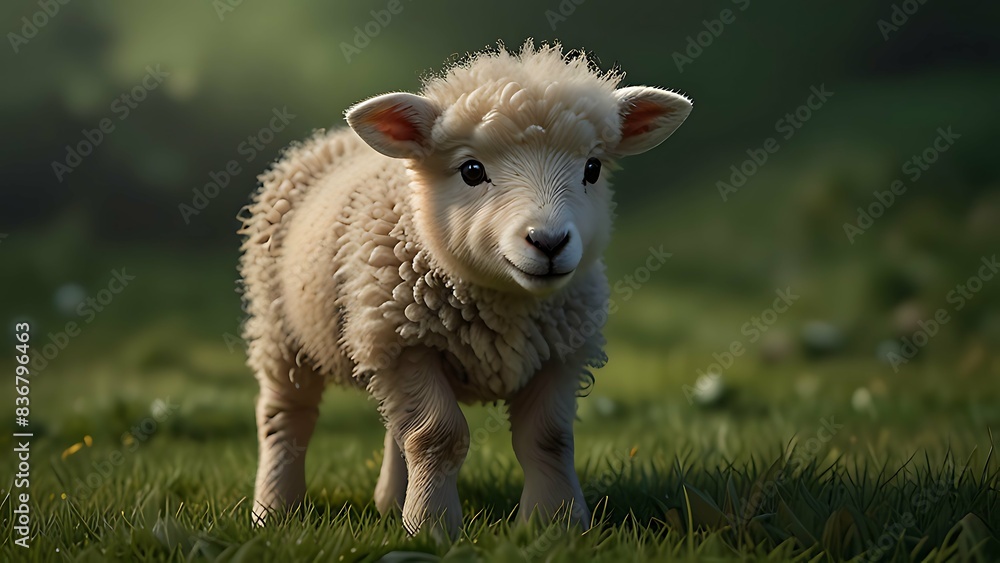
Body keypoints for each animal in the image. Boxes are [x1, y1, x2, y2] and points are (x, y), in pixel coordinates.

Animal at [239, 40, 692, 538]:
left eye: (592, 169)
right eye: (471, 170)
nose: (549, 242)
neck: (503, 300)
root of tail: (328, 138)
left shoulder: (560, 351)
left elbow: (549, 439)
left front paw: (554, 526)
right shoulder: (406, 344)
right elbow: (437, 436)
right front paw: (431, 526)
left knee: (393, 427)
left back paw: (389, 502)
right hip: (281, 330)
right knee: (286, 417)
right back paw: (274, 511)